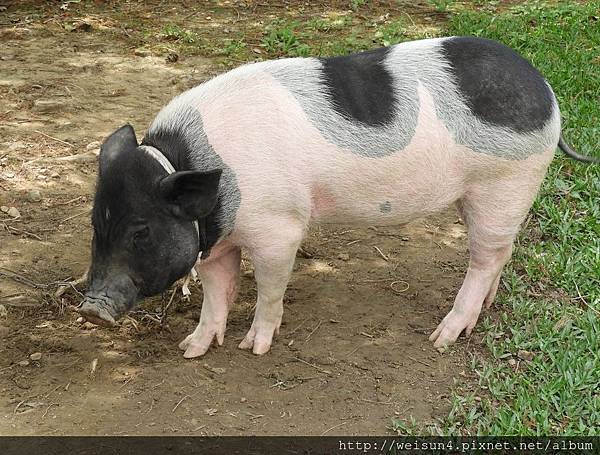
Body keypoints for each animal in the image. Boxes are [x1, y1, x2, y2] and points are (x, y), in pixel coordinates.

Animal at [77, 35, 596, 358]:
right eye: (96, 224)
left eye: (141, 230)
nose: (91, 309)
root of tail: (546, 91)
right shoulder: (214, 238)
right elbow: (216, 295)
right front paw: (192, 349)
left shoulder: (279, 228)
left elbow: (269, 289)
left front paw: (254, 347)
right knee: (501, 251)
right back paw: (482, 311)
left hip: (507, 181)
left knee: (485, 258)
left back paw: (442, 338)